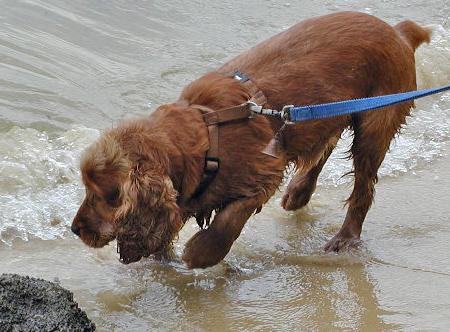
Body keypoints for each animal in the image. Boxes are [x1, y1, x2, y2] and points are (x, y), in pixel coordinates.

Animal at [72, 11, 430, 268]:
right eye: (86, 188)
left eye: (109, 195)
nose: (75, 229)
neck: (205, 131)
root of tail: (399, 31)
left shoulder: (264, 172)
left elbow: (229, 219)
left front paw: (201, 253)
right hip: (325, 114)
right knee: (322, 147)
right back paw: (298, 193)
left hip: (374, 126)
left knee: (362, 190)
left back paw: (344, 238)